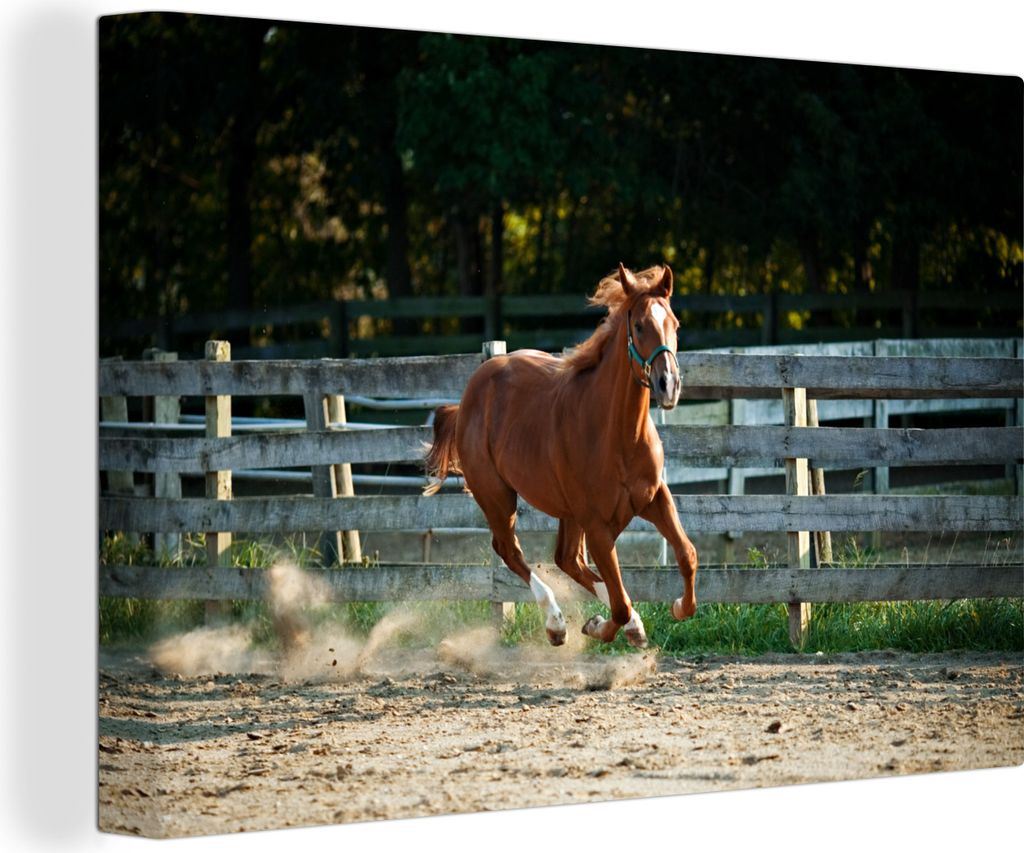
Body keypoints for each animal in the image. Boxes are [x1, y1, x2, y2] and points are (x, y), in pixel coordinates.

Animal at [424, 263, 698, 647]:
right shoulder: (597, 524)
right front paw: (597, 626)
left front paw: (676, 608)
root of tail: (467, 399)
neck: (619, 436)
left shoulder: (654, 498)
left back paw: (626, 625)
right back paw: (556, 624)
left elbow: (687, 555)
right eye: (640, 325)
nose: (668, 385)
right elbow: (619, 604)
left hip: (566, 513)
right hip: (497, 496)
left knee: (567, 559)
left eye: (674, 323)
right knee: (511, 551)